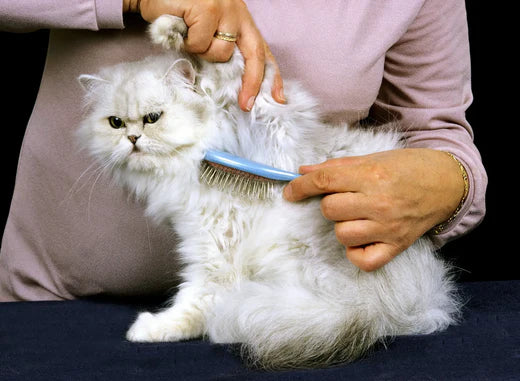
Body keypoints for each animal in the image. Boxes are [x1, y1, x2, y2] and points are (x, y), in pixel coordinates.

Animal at [77, 15, 460, 368]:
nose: (132, 139)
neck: (198, 156)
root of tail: (387, 308)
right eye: (115, 123)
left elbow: (230, 66)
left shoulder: (267, 123)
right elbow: (196, 299)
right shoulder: (204, 241)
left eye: (153, 118)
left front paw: (172, 29)